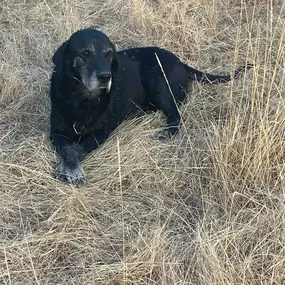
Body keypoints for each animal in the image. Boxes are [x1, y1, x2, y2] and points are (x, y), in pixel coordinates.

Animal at [50, 27, 250, 183]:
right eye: (85, 53)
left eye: (108, 54)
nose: (106, 77)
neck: (82, 99)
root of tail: (179, 61)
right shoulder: (55, 133)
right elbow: (68, 148)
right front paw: (70, 168)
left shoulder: (101, 134)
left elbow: (78, 148)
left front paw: (72, 171)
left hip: (158, 82)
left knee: (175, 114)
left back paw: (167, 133)